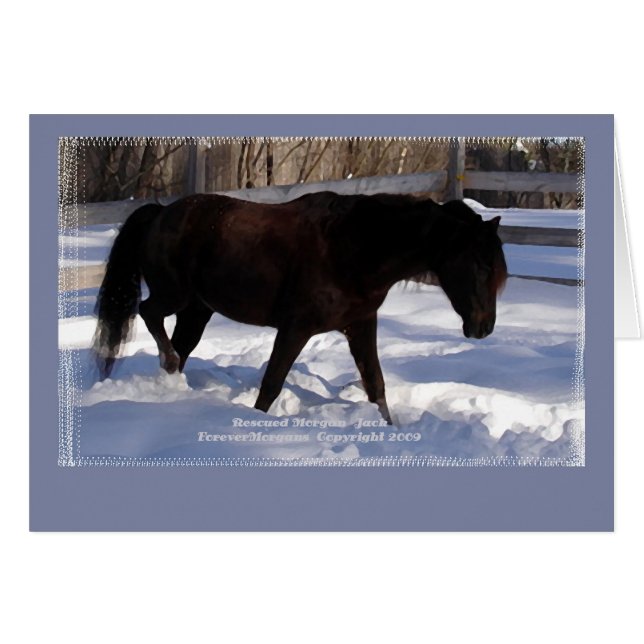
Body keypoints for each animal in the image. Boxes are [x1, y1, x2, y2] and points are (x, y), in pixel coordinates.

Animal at [93, 191, 507, 424]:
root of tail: (161, 212)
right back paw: (168, 363)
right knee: (148, 313)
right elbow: (271, 385)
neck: (356, 248)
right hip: (176, 296)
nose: (484, 327)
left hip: (198, 310)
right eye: (481, 265)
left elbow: (376, 385)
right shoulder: (296, 328)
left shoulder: (361, 325)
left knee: (180, 345)